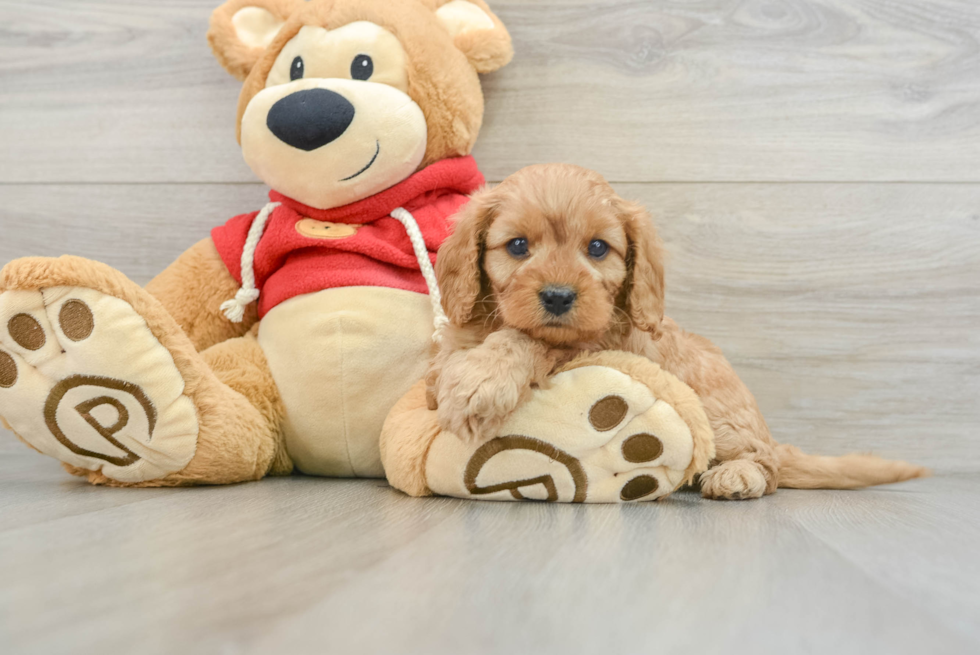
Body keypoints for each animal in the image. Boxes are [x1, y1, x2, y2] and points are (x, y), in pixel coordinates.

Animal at [426, 165, 928, 502]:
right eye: (517, 246)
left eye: (597, 248)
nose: (558, 297)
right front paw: (466, 375)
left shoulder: (594, 345)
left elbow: (534, 339)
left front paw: (481, 382)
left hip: (719, 414)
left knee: (766, 465)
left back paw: (737, 477)